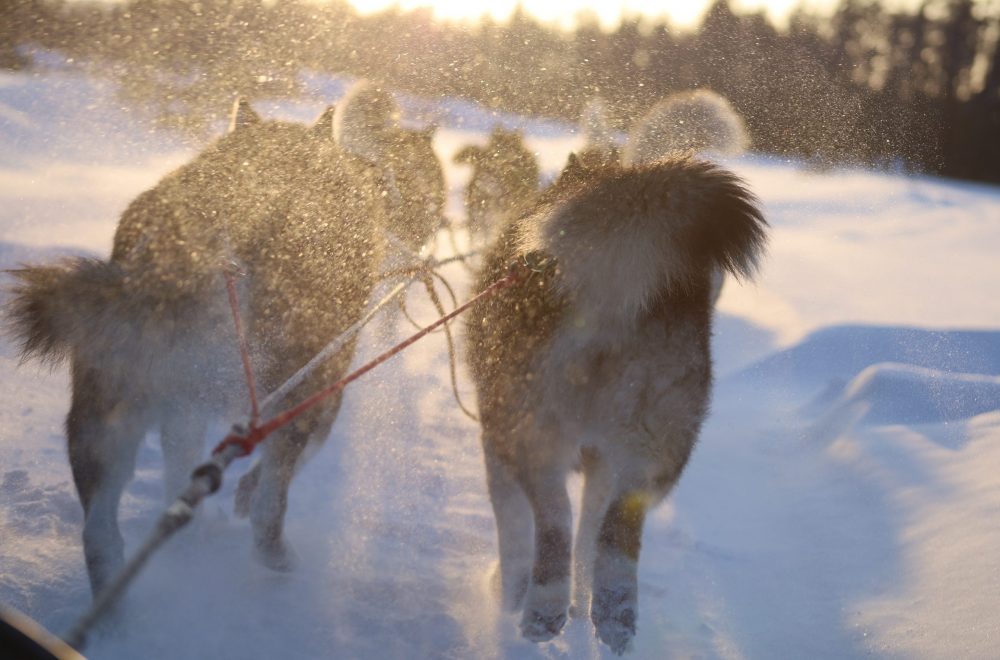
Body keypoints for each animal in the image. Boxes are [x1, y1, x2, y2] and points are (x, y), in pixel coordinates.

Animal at [4, 98, 442, 600]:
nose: (379, 178)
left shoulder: (185, 412)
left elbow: (180, 467)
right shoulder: (323, 387)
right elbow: (287, 469)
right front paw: (247, 499)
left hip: (105, 418)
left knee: (100, 533)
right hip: (285, 391)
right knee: (272, 503)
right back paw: (276, 555)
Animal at [466, 155, 764, 656]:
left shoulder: (495, 448)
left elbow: (515, 539)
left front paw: (507, 599)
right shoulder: (603, 462)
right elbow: (588, 537)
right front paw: (581, 601)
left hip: (529, 434)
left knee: (553, 522)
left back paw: (542, 607)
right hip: (654, 449)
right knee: (613, 532)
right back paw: (611, 612)